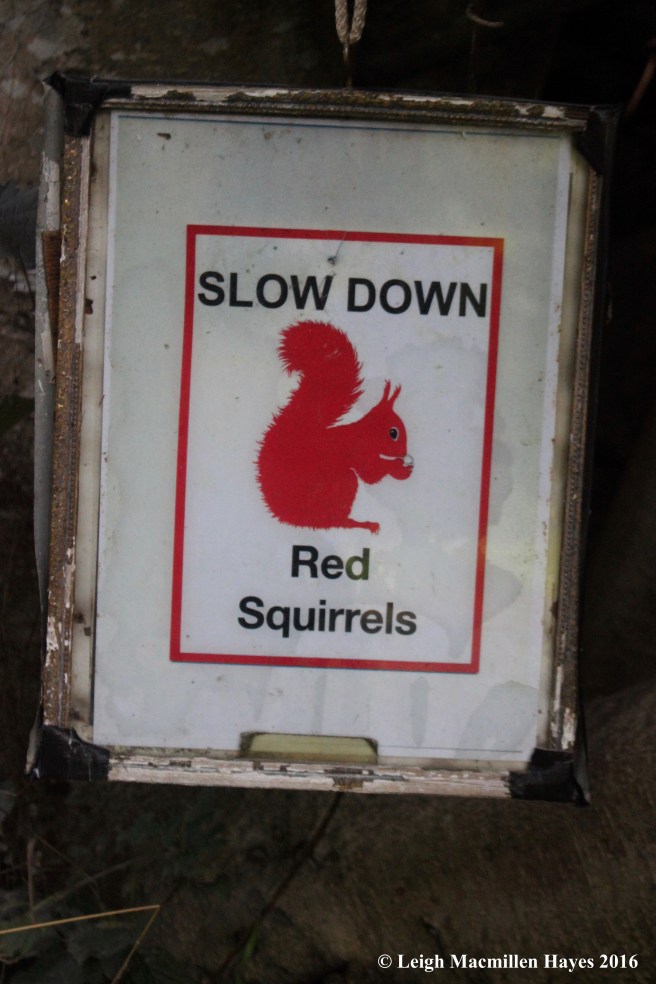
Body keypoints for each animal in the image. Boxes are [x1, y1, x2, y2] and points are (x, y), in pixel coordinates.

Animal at [256, 320, 413, 533]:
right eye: (393, 432)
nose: (404, 453)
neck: (362, 433)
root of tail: (294, 518)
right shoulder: (357, 452)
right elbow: (370, 475)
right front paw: (397, 466)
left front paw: (403, 471)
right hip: (343, 482)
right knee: (336, 521)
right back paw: (363, 524)